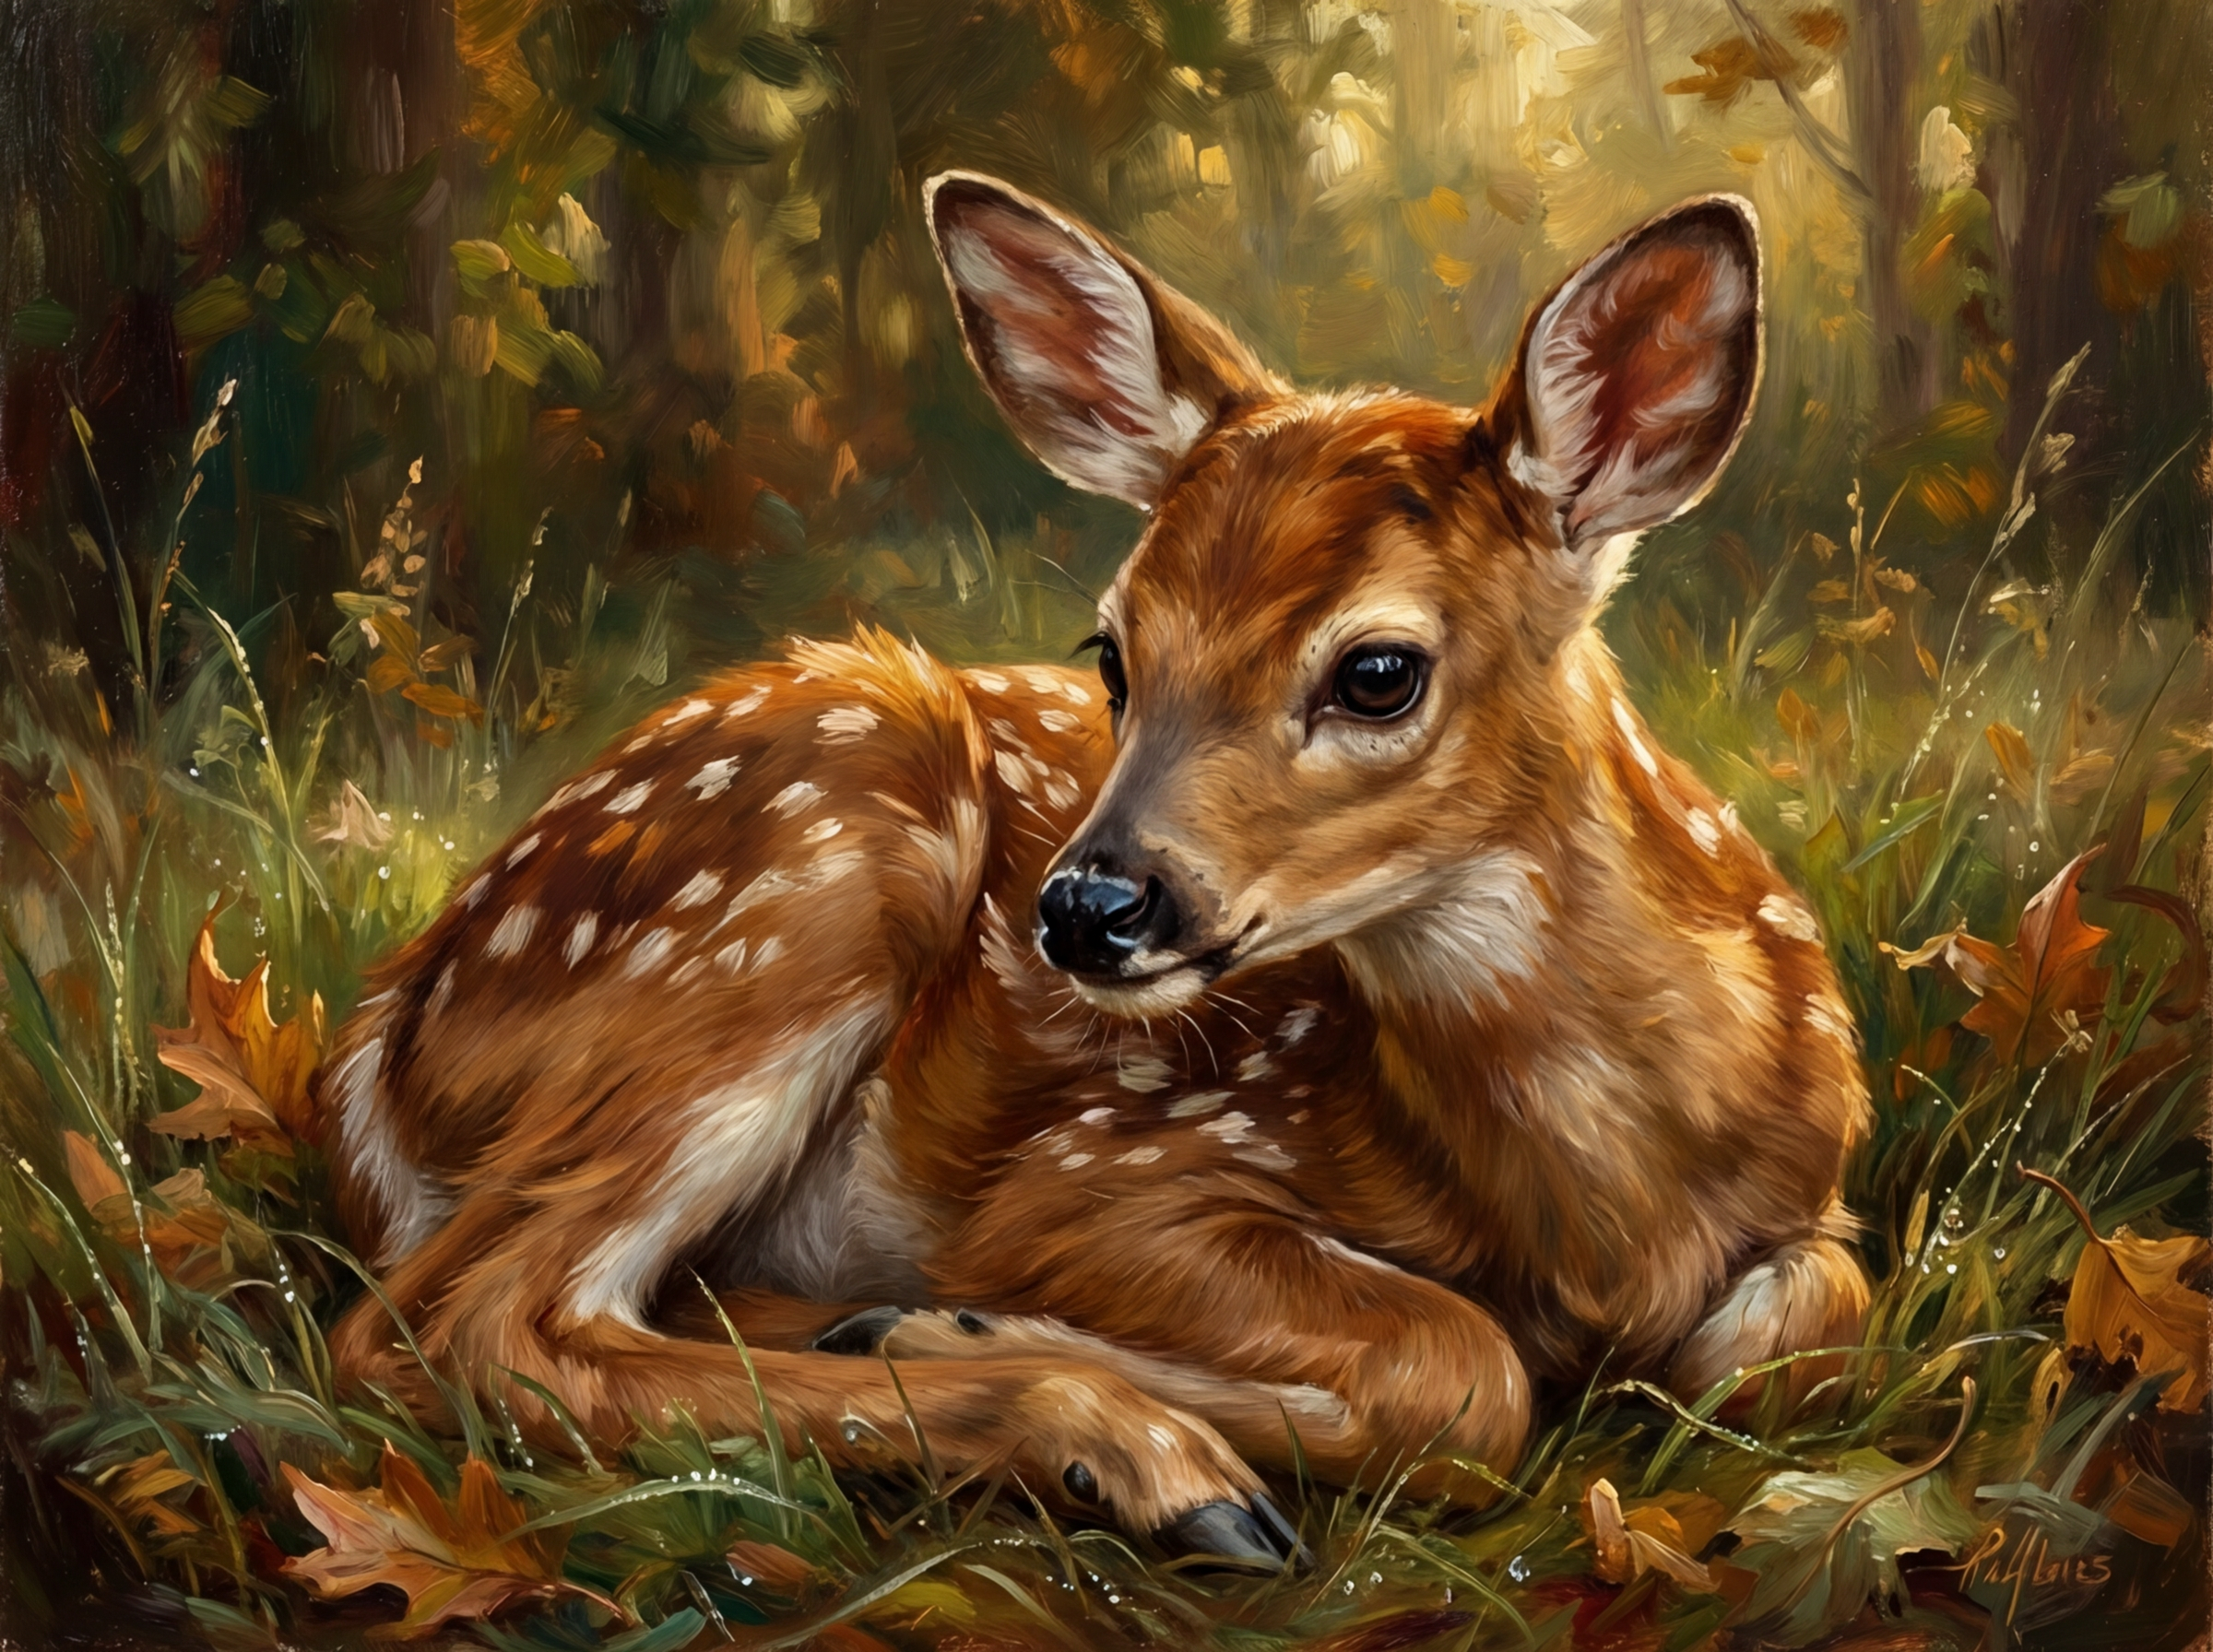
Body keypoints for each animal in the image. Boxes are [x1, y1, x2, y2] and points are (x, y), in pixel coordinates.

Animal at [318, 172, 1871, 1568]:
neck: (1610, 1212)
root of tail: (389, 1025)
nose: (1084, 906)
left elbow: (1801, 1330)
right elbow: (1466, 1372)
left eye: (1377, 671)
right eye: (1113, 653)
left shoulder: (1816, 1213)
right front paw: (994, 1336)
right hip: (803, 877)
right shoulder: (1100, 1172)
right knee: (462, 1325)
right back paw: (1132, 1452)